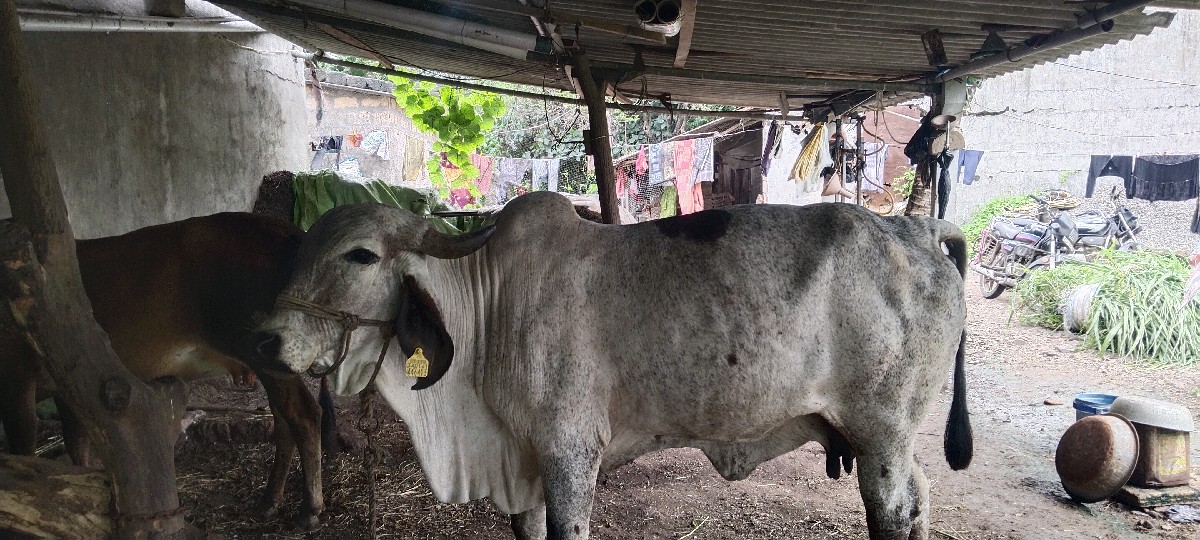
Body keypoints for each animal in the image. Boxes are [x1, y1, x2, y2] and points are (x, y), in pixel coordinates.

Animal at [0, 213, 328, 529]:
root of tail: (288, 230)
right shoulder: (65, 383)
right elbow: (77, 448)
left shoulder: (16, 374)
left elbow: (23, 451)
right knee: (283, 421)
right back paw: (269, 501)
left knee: (304, 415)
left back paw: (309, 509)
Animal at [252, 192, 973, 540]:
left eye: (361, 255)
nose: (264, 340)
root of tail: (915, 229)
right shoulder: (523, 462)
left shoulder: (570, 449)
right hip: (887, 438)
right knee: (921, 502)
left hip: (881, 432)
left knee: (892, 513)